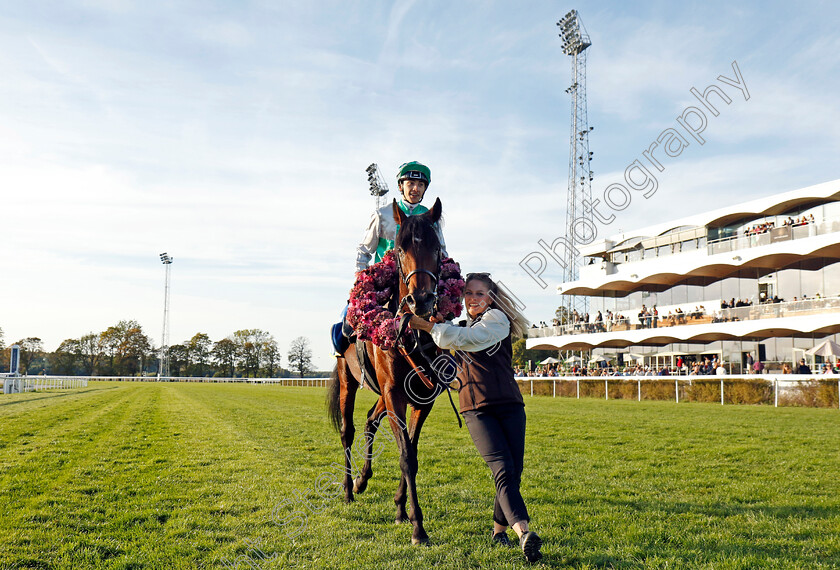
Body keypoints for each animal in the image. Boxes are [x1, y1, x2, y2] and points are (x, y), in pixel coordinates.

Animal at [328, 197, 446, 544]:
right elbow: (406, 455)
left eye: (437, 247)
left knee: (370, 420)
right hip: (348, 380)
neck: (412, 332)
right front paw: (418, 527)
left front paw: (400, 509)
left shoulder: (422, 396)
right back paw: (348, 488)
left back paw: (362, 480)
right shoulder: (394, 393)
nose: (421, 299)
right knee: (348, 430)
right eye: (400, 248)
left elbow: (413, 451)